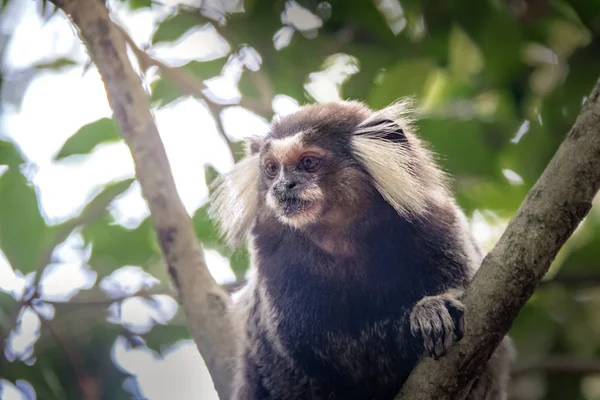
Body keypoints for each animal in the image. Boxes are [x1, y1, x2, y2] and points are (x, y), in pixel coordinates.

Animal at [210, 100, 510, 400]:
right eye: (272, 168)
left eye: (308, 162)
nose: (282, 186)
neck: (342, 239)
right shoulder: (274, 263)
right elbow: (318, 354)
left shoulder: (437, 224)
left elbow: (478, 300)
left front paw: (432, 309)